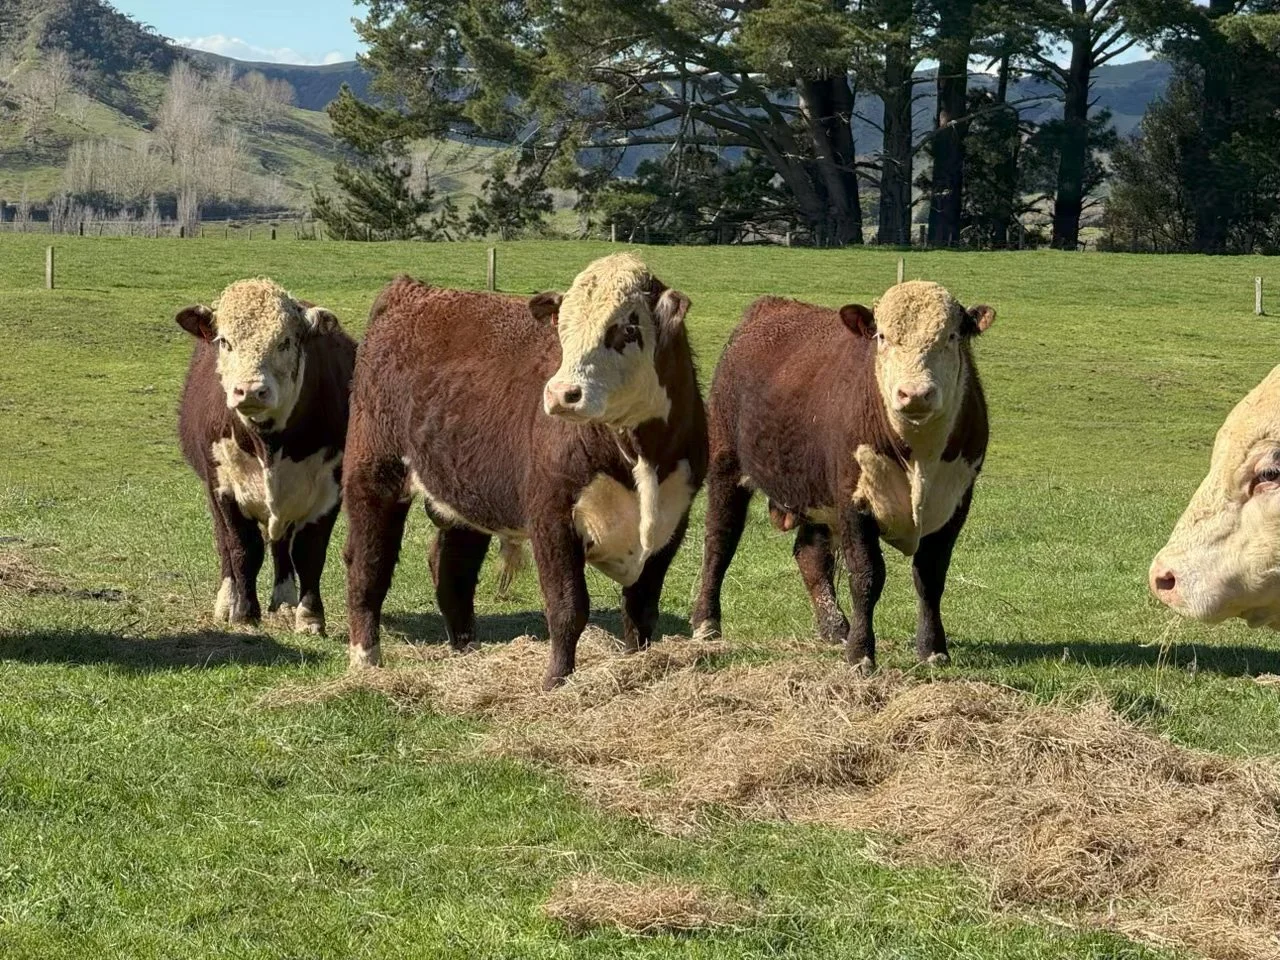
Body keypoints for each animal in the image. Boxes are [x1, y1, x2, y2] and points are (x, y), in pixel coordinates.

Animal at [176, 278, 356, 636]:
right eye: (225, 342)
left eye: (285, 342)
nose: (250, 390)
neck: (268, 443)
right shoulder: (223, 487)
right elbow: (243, 547)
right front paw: (244, 612)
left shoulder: (329, 489)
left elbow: (309, 552)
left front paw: (310, 617)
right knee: (226, 544)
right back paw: (227, 601)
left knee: (281, 545)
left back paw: (284, 601)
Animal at [342, 253, 707, 689]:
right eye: (562, 330)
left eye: (628, 328)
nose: (562, 393)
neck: (641, 458)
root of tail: (413, 290)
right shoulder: (551, 516)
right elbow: (567, 606)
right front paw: (555, 682)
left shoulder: (671, 523)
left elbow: (641, 610)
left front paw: (636, 669)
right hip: (375, 473)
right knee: (368, 563)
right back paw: (365, 660)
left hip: (467, 493)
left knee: (452, 571)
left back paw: (467, 653)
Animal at [690, 281, 995, 670]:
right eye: (882, 336)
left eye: (952, 336)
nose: (914, 394)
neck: (918, 457)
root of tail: (771, 307)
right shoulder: (854, 499)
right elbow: (866, 574)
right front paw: (861, 654)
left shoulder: (955, 502)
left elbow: (930, 574)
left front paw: (933, 649)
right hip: (727, 463)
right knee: (720, 539)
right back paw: (706, 622)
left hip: (817, 492)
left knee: (810, 554)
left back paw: (835, 628)